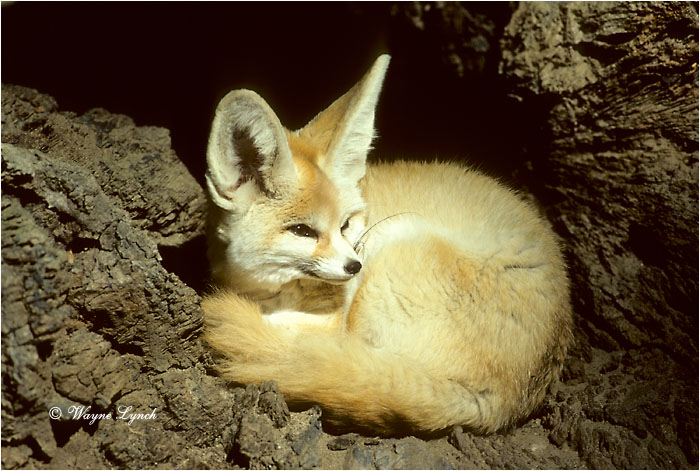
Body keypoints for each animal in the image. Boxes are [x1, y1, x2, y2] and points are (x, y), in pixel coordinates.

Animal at [201, 55, 573, 435]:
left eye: (345, 224)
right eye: (302, 231)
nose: (354, 266)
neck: (269, 295)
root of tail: (502, 402)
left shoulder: (331, 322)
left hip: (393, 246)